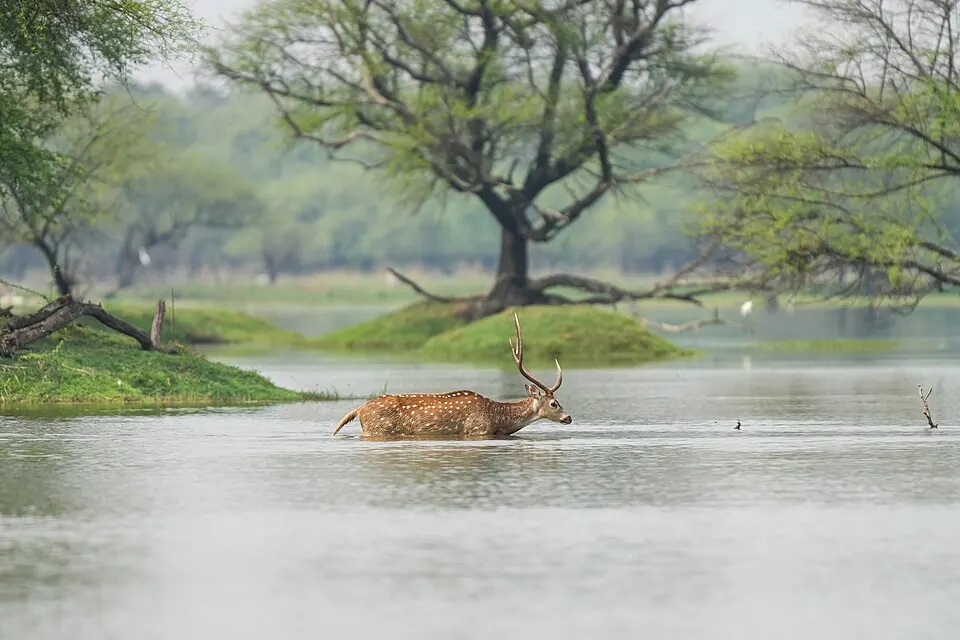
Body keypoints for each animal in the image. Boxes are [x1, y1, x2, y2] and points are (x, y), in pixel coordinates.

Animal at [332, 313, 572, 438]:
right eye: (554, 403)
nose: (568, 417)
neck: (498, 420)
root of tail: (360, 409)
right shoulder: (477, 430)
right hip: (377, 429)